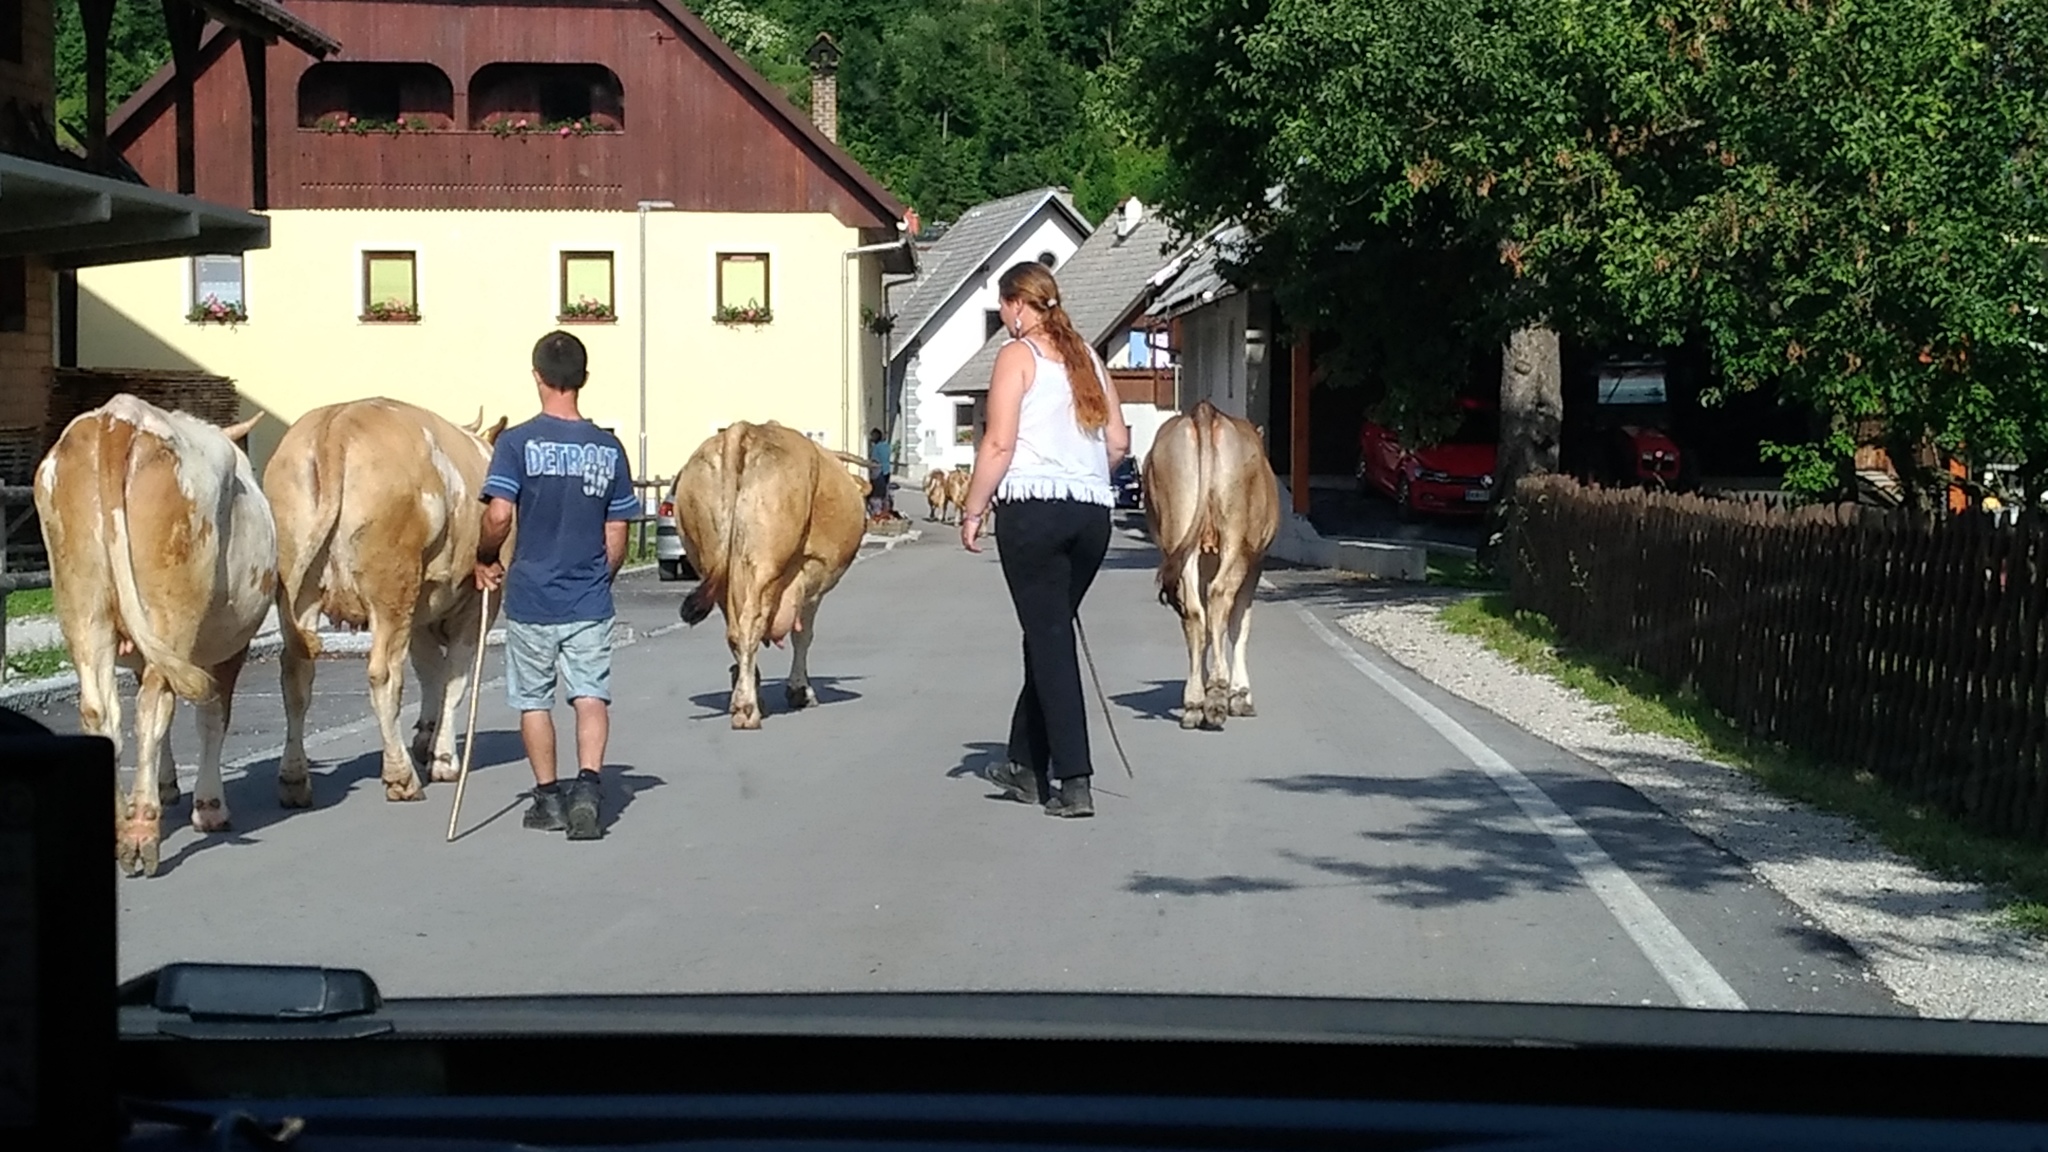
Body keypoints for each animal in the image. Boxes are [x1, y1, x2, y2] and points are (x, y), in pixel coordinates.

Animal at [33, 389, 276, 873]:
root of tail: (121, 416)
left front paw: (170, 787)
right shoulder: (231, 648)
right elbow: (212, 717)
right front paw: (209, 807)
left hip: (81, 603)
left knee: (101, 710)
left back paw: (120, 824)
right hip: (170, 610)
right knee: (152, 706)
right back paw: (142, 833)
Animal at [264, 399, 507, 803]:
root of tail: (340, 420)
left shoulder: (422, 608)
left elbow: (431, 670)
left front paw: (427, 736)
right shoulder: (477, 604)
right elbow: (454, 679)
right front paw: (443, 759)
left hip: (299, 578)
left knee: (296, 672)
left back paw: (294, 780)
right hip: (391, 586)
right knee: (385, 674)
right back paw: (401, 777)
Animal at [671, 420, 864, 725]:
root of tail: (744, 430)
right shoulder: (811, 583)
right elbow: (803, 636)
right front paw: (800, 690)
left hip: (716, 564)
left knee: (735, 631)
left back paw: (747, 694)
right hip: (765, 563)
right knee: (750, 623)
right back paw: (746, 708)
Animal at [1146, 399, 1269, 725]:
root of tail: (1205, 412)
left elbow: (1211, 627)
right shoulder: (1255, 561)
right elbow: (1239, 624)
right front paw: (1240, 694)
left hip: (1179, 529)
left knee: (1193, 611)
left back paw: (1194, 702)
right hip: (1236, 538)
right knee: (1219, 595)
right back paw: (1215, 694)